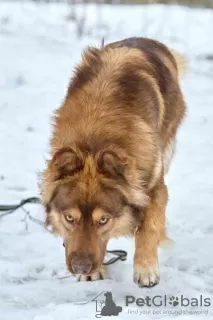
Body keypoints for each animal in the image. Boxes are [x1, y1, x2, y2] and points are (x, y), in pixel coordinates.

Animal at [40, 37, 186, 288]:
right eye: (69, 218)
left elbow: (148, 227)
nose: (80, 267)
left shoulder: (154, 186)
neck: (95, 144)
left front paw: (146, 268)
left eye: (103, 220)